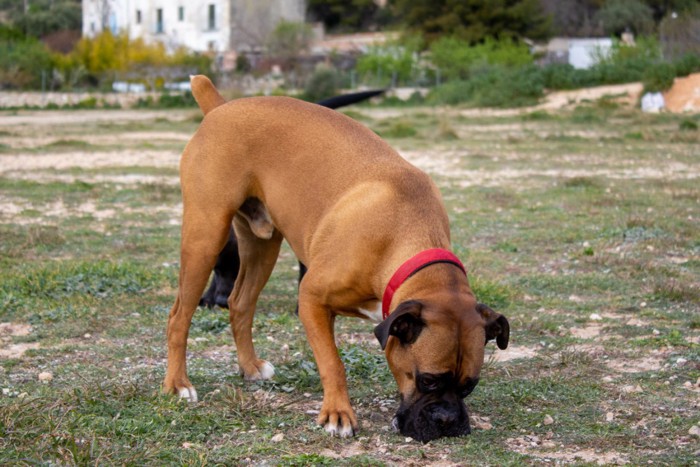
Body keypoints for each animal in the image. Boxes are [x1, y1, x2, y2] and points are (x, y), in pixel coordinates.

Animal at [167, 76, 512, 442]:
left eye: (469, 386)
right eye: (427, 380)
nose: (447, 420)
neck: (404, 236)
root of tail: (220, 107)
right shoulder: (311, 299)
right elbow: (333, 363)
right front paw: (337, 414)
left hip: (261, 246)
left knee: (240, 303)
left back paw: (250, 367)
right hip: (206, 237)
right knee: (179, 316)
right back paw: (177, 384)